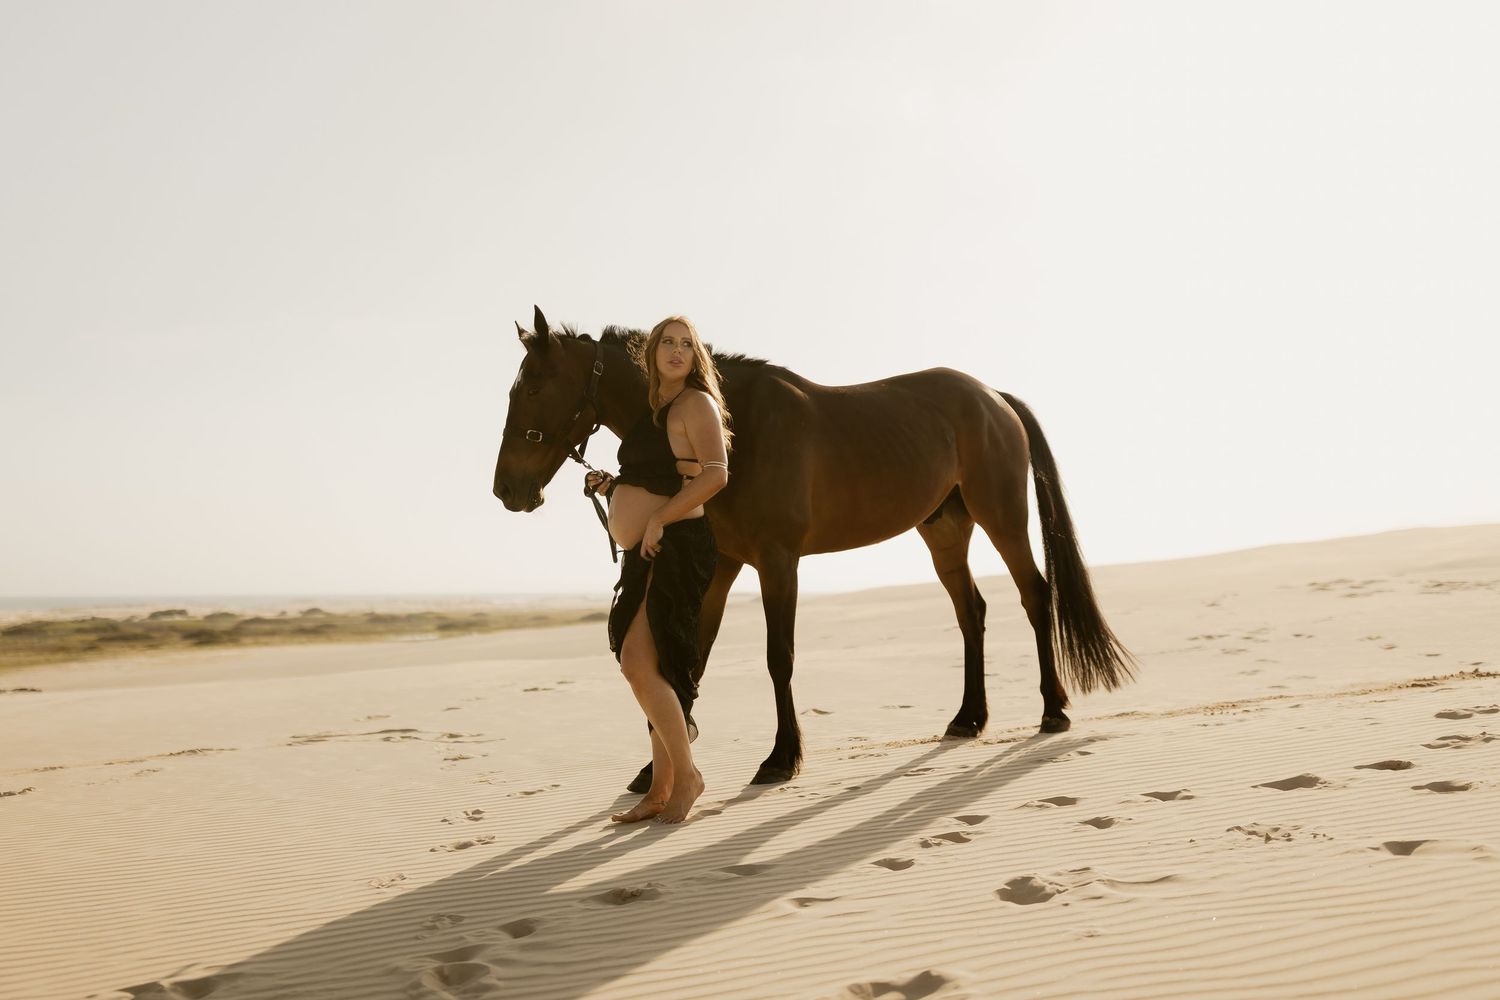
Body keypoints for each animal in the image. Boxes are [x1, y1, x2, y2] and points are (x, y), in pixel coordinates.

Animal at [493, 307, 1135, 789]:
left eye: (533, 386)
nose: (506, 490)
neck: (731, 427)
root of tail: (992, 397)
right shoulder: (722, 565)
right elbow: (690, 661)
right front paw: (654, 771)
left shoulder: (778, 563)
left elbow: (779, 657)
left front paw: (782, 758)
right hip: (943, 530)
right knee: (970, 612)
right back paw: (968, 718)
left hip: (1001, 516)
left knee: (1035, 595)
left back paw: (1053, 710)